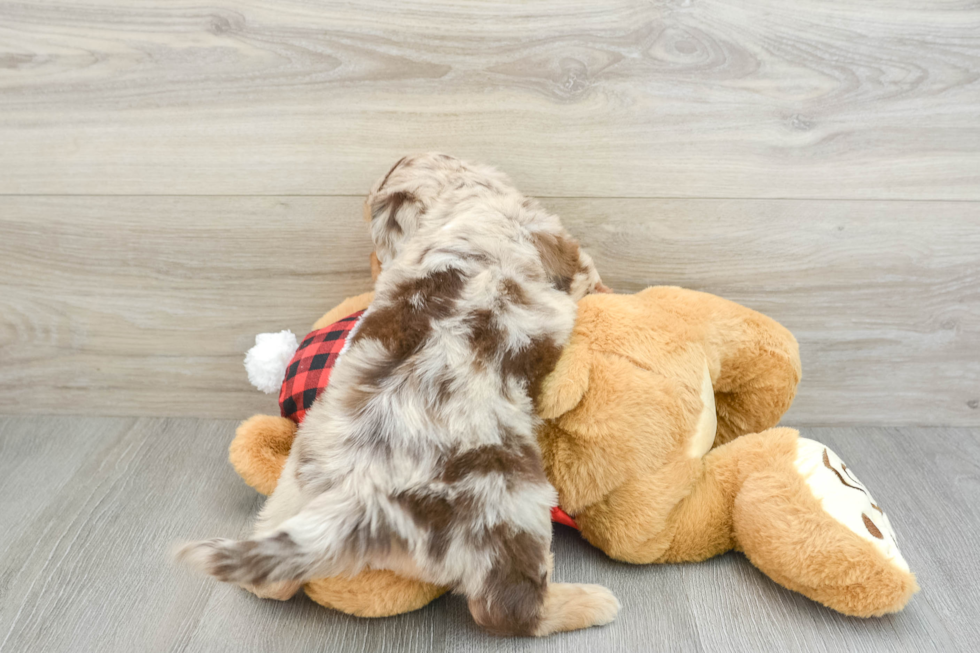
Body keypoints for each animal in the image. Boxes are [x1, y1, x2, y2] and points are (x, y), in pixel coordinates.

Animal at [180, 154, 616, 636]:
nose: (374, 265)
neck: (466, 200)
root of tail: (365, 499)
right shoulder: (568, 253)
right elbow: (591, 278)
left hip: (292, 490)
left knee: (271, 581)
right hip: (512, 506)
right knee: (507, 608)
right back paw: (589, 601)